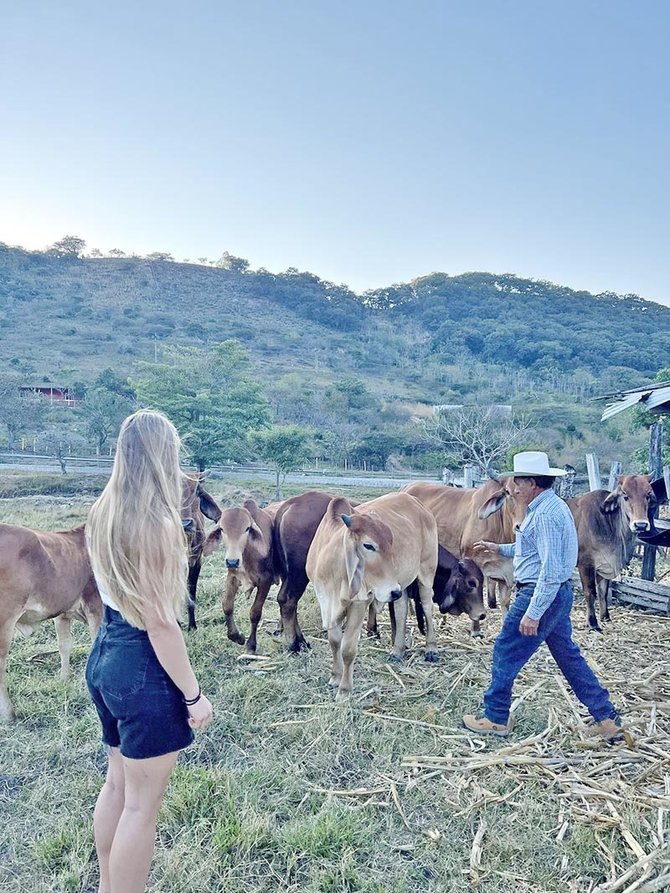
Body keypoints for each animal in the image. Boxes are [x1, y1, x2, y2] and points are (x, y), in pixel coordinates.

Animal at [205, 498, 278, 652]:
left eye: (247, 528)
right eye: (222, 529)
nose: (232, 561)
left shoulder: (266, 581)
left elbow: (255, 613)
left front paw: (251, 645)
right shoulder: (233, 577)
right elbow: (227, 606)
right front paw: (237, 636)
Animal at [308, 492, 438, 700]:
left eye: (391, 542)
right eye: (368, 545)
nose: (393, 590)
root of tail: (419, 505)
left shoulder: (359, 603)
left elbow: (347, 648)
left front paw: (344, 690)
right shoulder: (325, 602)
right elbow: (335, 641)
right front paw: (335, 677)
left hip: (426, 570)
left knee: (427, 606)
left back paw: (431, 649)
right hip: (402, 583)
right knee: (400, 609)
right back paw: (398, 650)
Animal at [568, 470, 656, 632]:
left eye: (648, 495)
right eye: (625, 496)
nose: (640, 525)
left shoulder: (605, 565)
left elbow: (603, 591)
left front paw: (605, 617)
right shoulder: (585, 564)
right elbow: (590, 592)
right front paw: (593, 623)